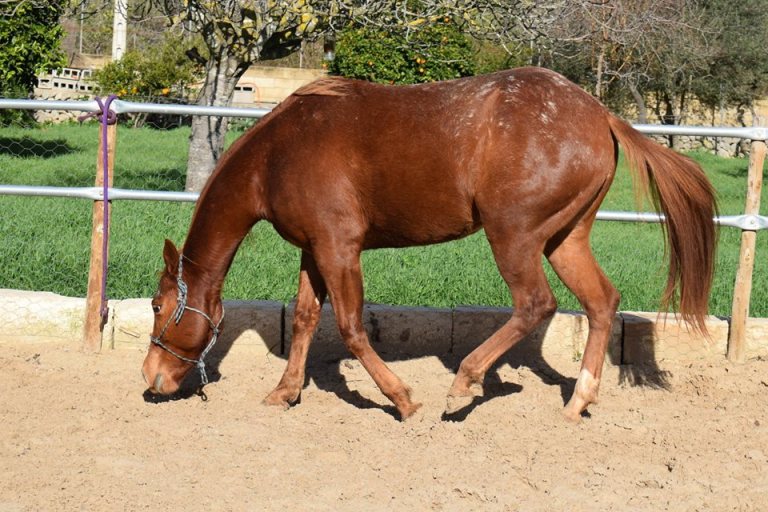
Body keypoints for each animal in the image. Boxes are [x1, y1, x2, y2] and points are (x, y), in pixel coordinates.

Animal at [141, 67, 716, 422]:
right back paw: (577, 402)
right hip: (564, 239)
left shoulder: (339, 249)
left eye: (158, 306)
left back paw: (463, 386)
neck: (277, 155)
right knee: (601, 303)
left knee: (535, 304)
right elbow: (305, 319)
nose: (152, 379)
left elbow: (350, 328)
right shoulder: (313, 250)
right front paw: (285, 392)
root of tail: (601, 115)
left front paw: (402, 400)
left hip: (514, 236)